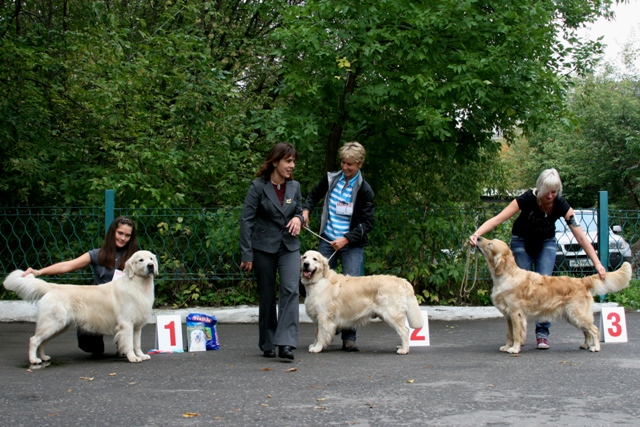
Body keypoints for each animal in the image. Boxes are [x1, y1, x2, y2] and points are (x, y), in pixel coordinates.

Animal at [3, 251, 158, 364]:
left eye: (151, 258)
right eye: (140, 260)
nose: (151, 265)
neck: (139, 285)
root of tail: (54, 286)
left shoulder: (137, 326)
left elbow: (137, 343)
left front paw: (141, 355)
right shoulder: (126, 324)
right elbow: (129, 343)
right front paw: (133, 357)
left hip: (59, 326)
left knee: (42, 342)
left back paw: (44, 357)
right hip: (51, 323)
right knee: (33, 340)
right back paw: (34, 360)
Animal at [476, 237, 632, 354]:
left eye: (490, 244)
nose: (478, 237)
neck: (506, 275)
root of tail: (582, 280)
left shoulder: (516, 314)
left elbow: (516, 333)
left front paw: (514, 349)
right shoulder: (508, 315)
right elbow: (509, 334)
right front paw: (507, 346)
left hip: (577, 314)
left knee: (594, 330)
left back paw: (595, 347)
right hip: (572, 316)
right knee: (587, 331)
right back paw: (585, 345)